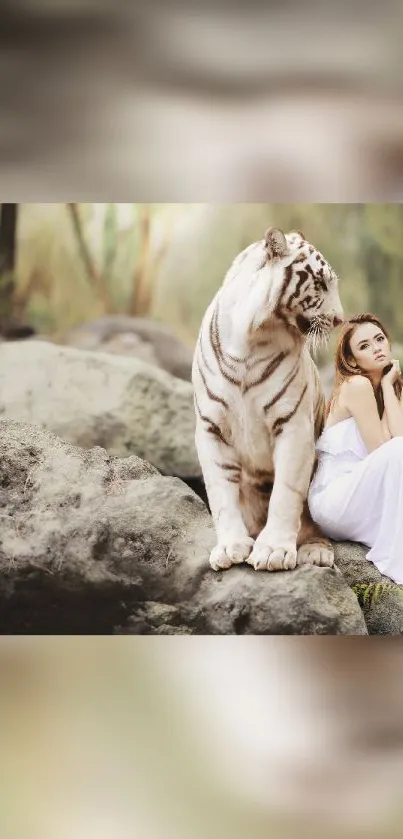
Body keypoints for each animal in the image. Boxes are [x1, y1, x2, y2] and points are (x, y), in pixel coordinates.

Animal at [193, 226, 344, 576]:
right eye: (321, 283)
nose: (340, 320)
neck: (251, 337)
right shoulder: (210, 427)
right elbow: (221, 493)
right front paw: (230, 547)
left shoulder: (293, 425)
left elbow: (286, 493)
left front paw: (274, 550)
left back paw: (316, 552)